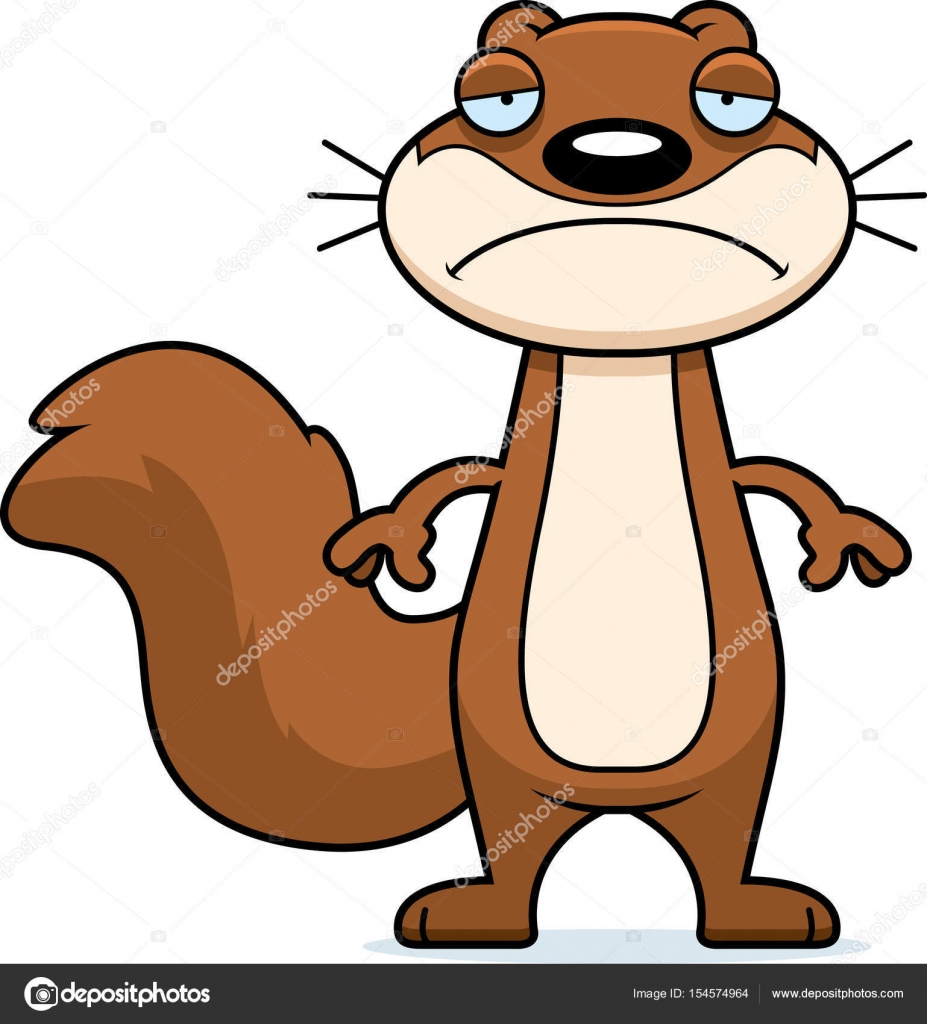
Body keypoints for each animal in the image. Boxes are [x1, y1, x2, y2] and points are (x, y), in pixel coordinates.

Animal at [2, 3, 918, 950]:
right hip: (508, 766)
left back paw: (749, 916)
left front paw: (849, 540)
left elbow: (773, 475)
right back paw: (479, 919)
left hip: (731, 757)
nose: (617, 157)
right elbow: (453, 480)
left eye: (736, 100)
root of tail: (611, 802)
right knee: (514, 841)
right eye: (498, 99)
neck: (617, 366)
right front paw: (387, 542)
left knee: (720, 838)